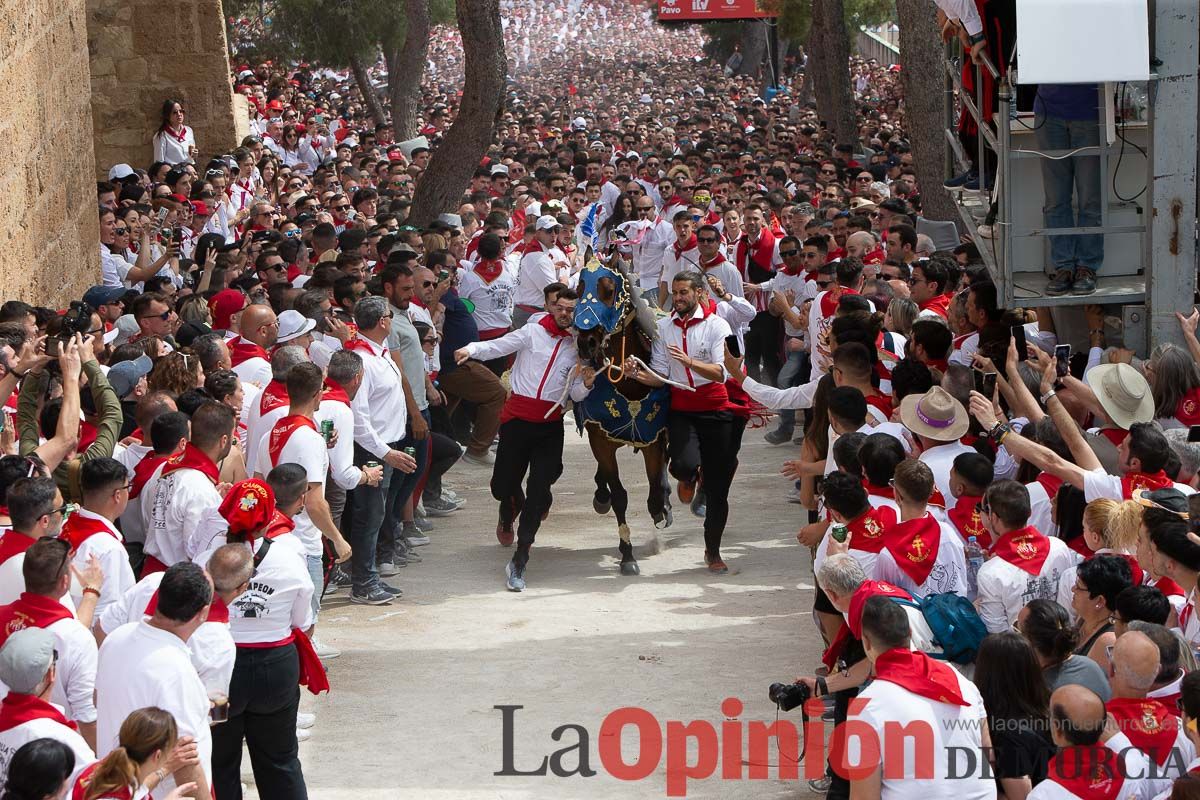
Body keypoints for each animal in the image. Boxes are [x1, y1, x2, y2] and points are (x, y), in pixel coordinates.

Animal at [573, 253, 676, 573]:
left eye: (609, 289)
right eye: (579, 288)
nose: (586, 342)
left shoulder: (652, 438)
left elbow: (654, 486)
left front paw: (660, 508)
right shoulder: (601, 440)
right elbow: (619, 495)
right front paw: (627, 555)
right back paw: (601, 495)